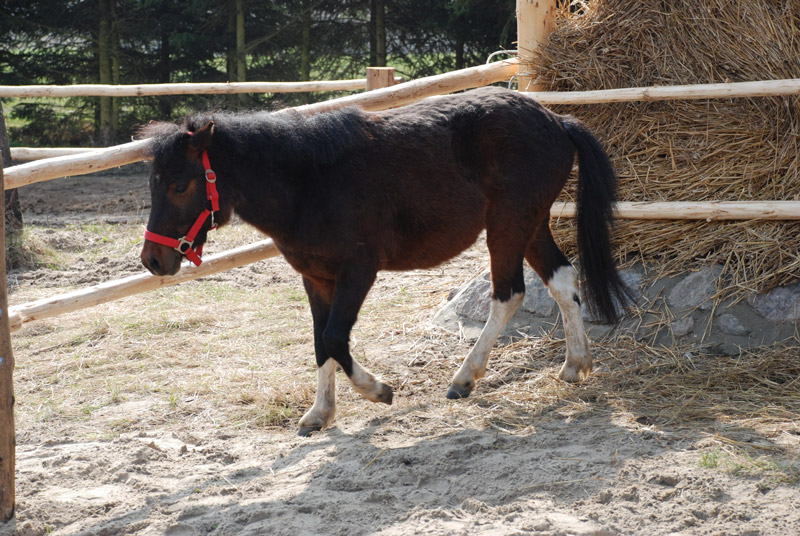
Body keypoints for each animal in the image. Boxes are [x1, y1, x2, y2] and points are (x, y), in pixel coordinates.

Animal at [139, 85, 632, 436]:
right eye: (154, 183)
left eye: (180, 186)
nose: (153, 260)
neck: (309, 182)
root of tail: (557, 119)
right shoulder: (316, 279)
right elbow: (320, 342)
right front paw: (320, 413)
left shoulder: (358, 272)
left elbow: (335, 338)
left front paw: (378, 391)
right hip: (530, 226)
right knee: (563, 282)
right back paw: (574, 365)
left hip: (508, 227)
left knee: (508, 294)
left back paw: (465, 378)